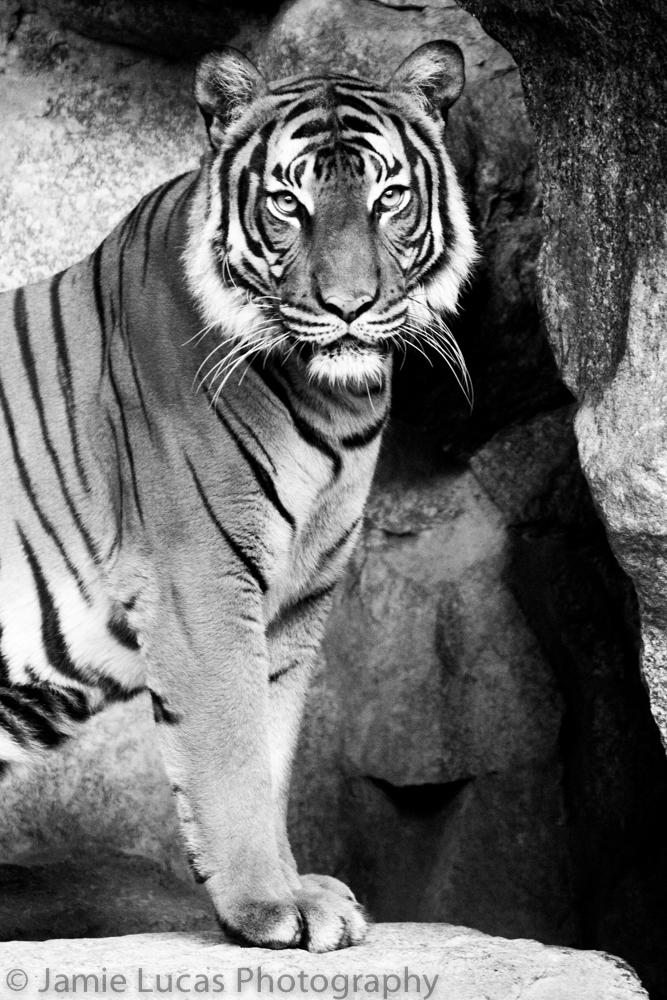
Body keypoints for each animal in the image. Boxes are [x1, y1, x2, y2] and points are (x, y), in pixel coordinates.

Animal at [0, 40, 476, 951]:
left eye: (388, 197)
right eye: (289, 203)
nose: (349, 307)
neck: (336, 405)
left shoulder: (294, 602)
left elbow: (272, 748)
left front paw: (297, 889)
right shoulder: (202, 586)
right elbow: (229, 750)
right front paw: (268, 904)